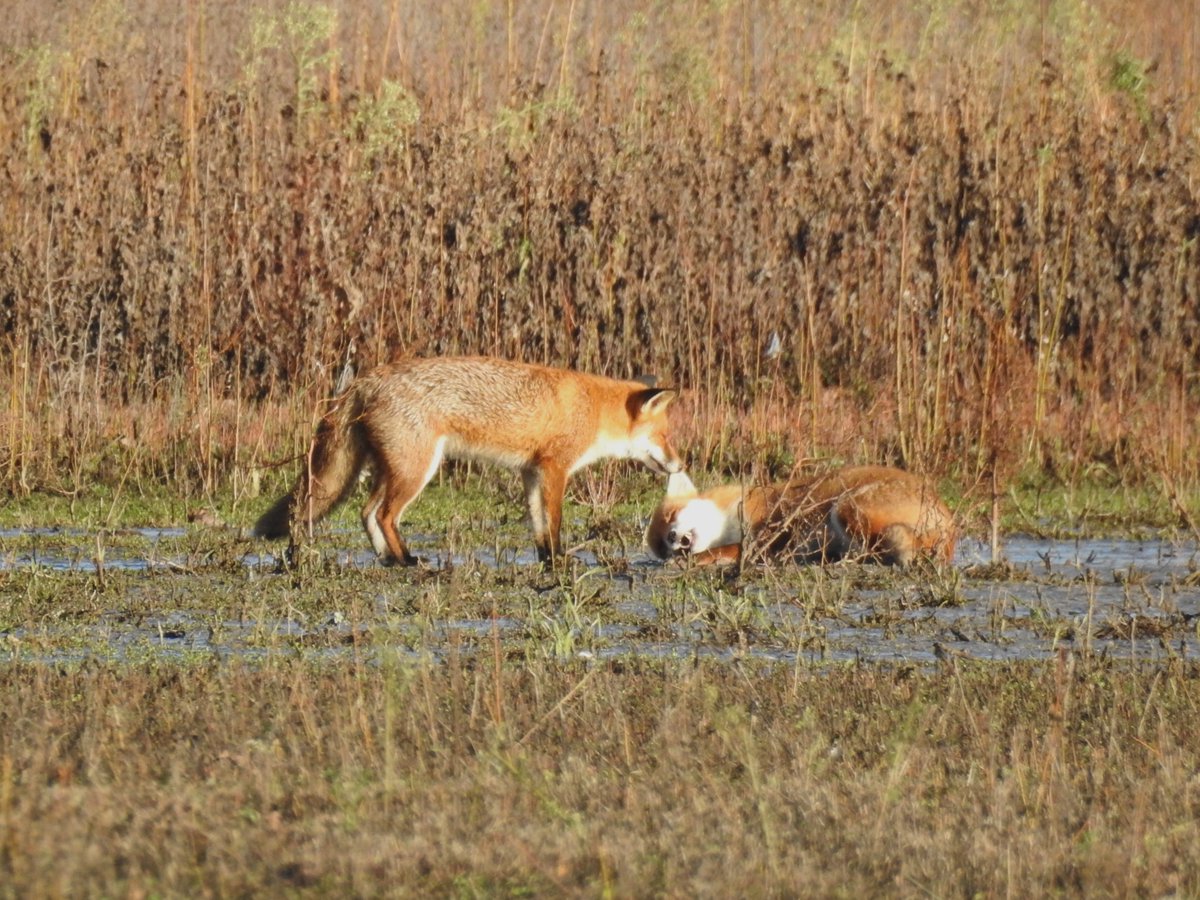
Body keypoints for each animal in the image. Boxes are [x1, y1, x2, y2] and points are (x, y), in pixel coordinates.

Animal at [254, 356, 682, 565]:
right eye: (665, 437)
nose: (679, 466)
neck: (593, 408)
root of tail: (365, 380)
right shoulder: (555, 469)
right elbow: (556, 522)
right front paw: (561, 561)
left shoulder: (531, 472)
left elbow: (538, 524)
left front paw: (546, 559)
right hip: (417, 470)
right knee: (385, 515)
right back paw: (407, 559)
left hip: (392, 469)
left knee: (366, 511)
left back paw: (388, 558)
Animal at [646, 465, 956, 567]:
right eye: (663, 546)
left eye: (672, 515)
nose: (674, 540)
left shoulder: (766, 539)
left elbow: (719, 551)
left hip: (845, 506)